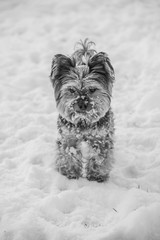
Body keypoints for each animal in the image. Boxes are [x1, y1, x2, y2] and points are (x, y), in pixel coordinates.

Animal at [50, 39, 115, 182]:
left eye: (92, 89)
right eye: (71, 90)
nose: (82, 105)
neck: (83, 120)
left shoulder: (100, 136)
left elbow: (99, 155)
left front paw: (96, 175)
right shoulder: (68, 136)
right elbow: (68, 153)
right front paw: (70, 172)